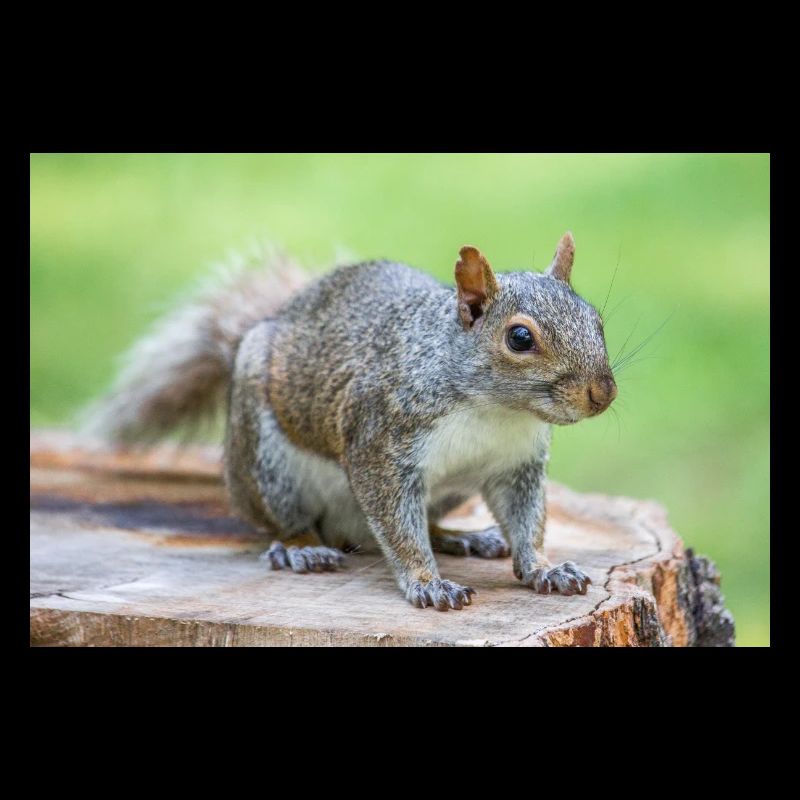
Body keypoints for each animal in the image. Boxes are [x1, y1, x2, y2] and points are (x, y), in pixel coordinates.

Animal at [89, 233, 617, 611]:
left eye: (597, 320)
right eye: (520, 338)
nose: (603, 394)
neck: (496, 411)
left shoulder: (516, 465)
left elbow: (527, 522)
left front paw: (544, 568)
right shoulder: (380, 443)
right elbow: (398, 527)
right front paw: (427, 583)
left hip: (450, 491)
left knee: (419, 521)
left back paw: (460, 536)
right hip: (266, 464)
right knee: (285, 521)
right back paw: (301, 548)